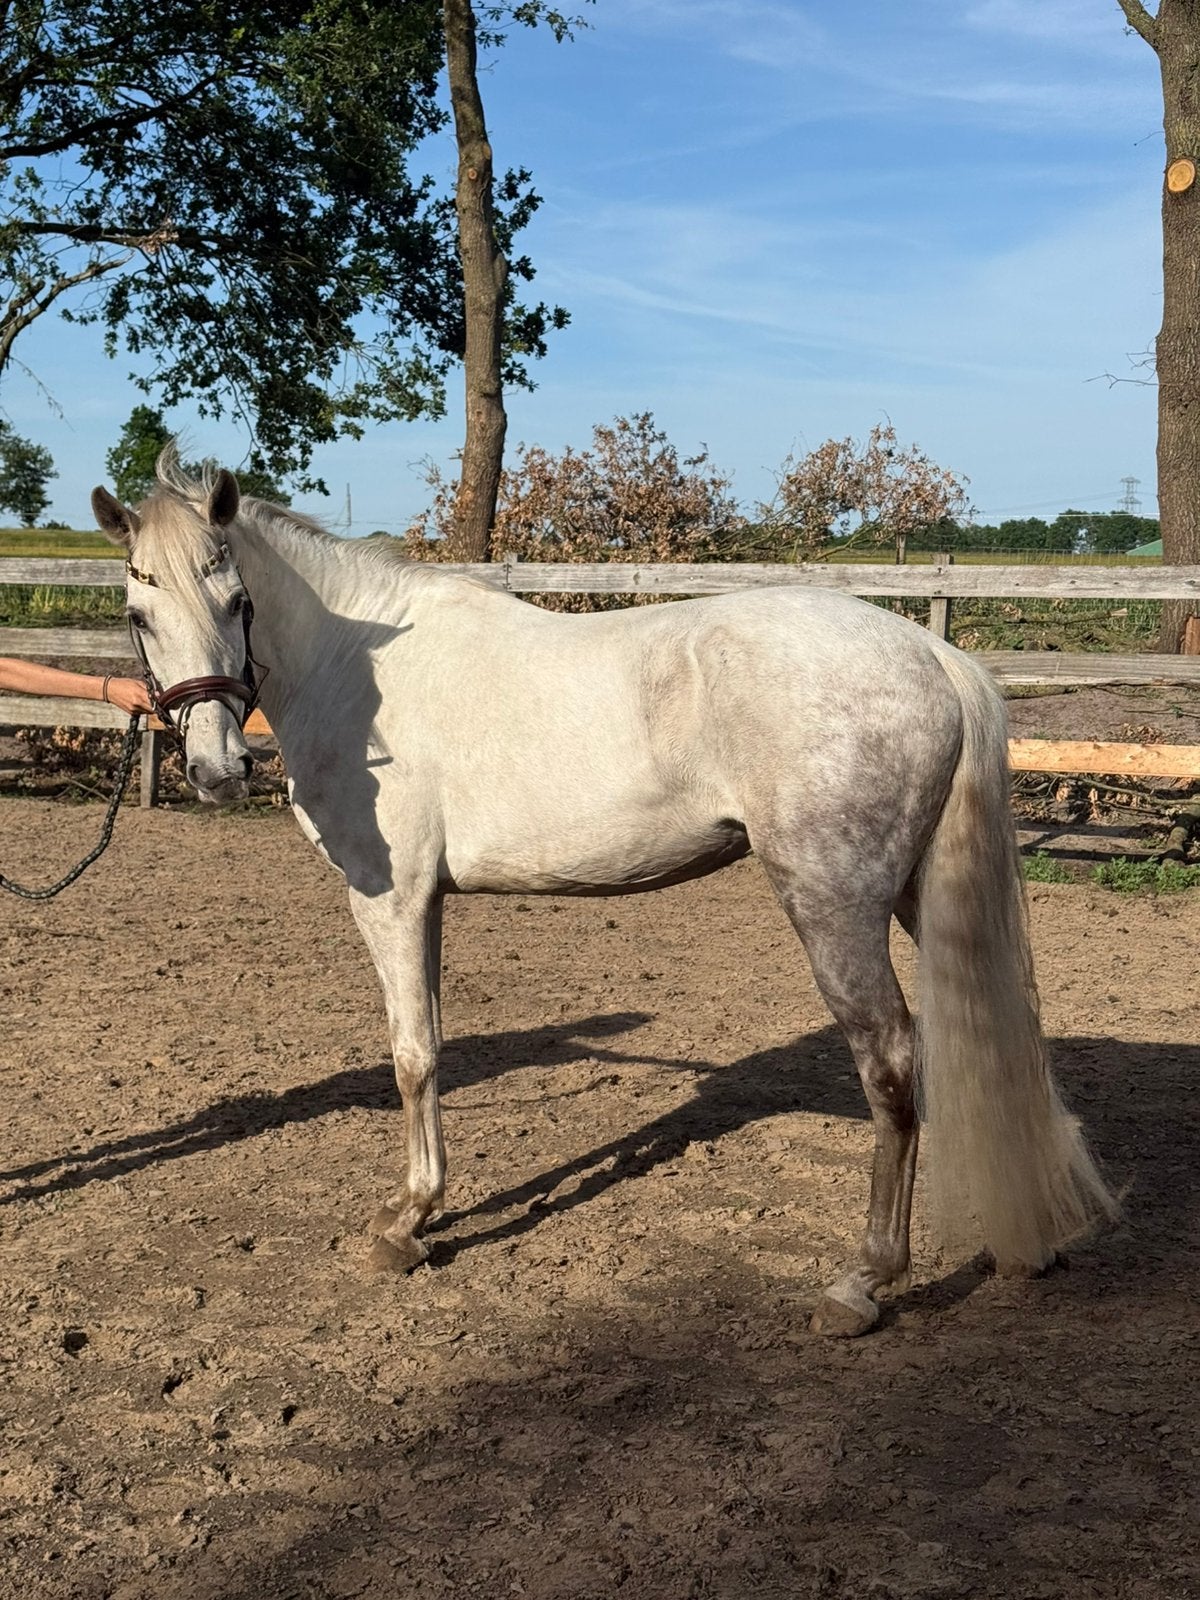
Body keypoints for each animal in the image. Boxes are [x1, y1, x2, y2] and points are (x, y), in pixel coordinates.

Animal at [91, 458, 1117, 1337]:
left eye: (238, 601)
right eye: (138, 612)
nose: (218, 769)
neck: (358, 669)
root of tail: (931, 655)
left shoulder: (389, 897)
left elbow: (412, 1057)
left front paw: (406, 1226)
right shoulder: (427, 902)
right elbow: (432, 1049)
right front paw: (424, 1208)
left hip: (836, 906)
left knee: (893, 1062)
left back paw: (862, 1282)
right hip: (913, 892)